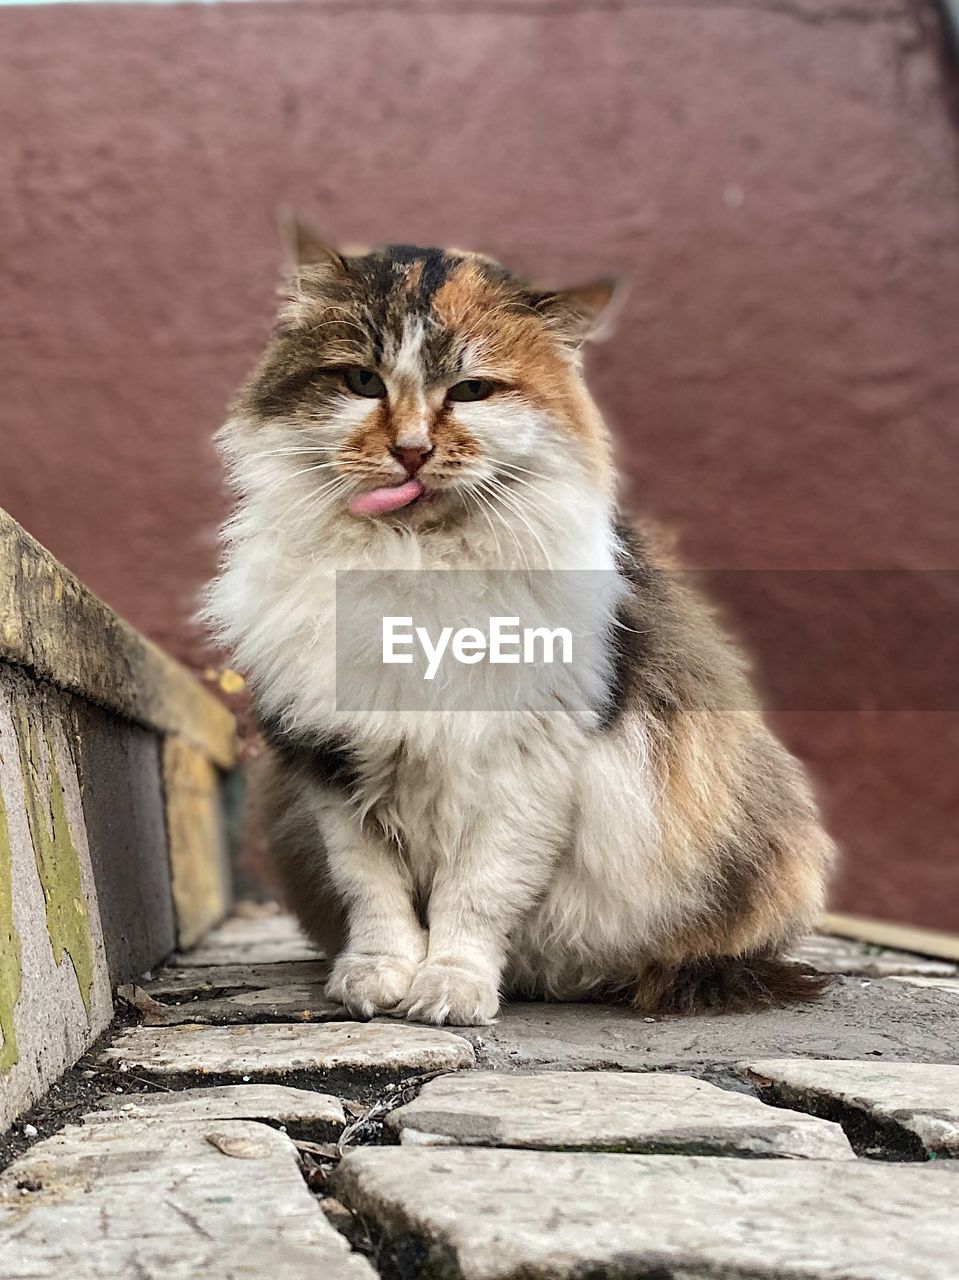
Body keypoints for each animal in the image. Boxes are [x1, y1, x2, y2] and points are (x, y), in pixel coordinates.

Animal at [206, 227, 834, 1029]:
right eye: (362, 383)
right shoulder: (332, 765)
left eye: (471, 391)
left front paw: (451, 992)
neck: (414, 560)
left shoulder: (521, 765)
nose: (411, 450)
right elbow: (373, 893)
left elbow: (474, 898)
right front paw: (376, 981)